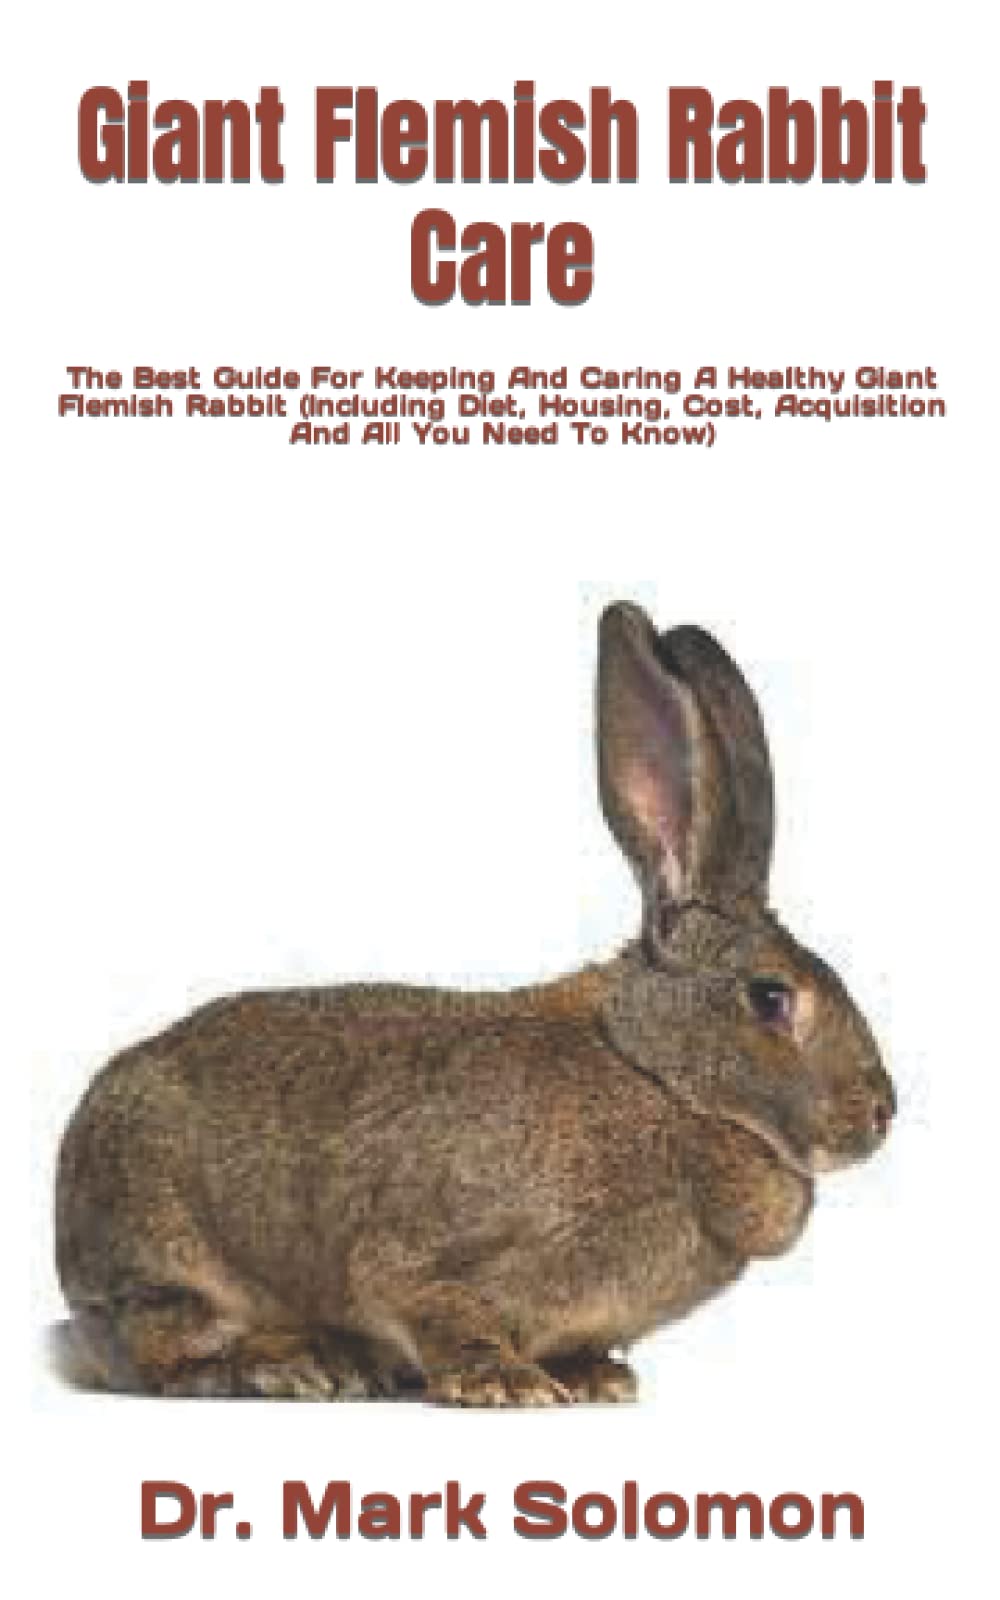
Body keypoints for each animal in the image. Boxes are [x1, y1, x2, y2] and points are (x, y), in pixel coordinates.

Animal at [53, 602, 894, 1405]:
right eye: (771, 998)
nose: (882, 1111)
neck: (654, 1079)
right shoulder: (421, 1254)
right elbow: (434, 1308)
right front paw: (506, 1384)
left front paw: (596, 1380)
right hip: (164, 1257)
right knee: (157, 1349)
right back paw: (294, 1368)